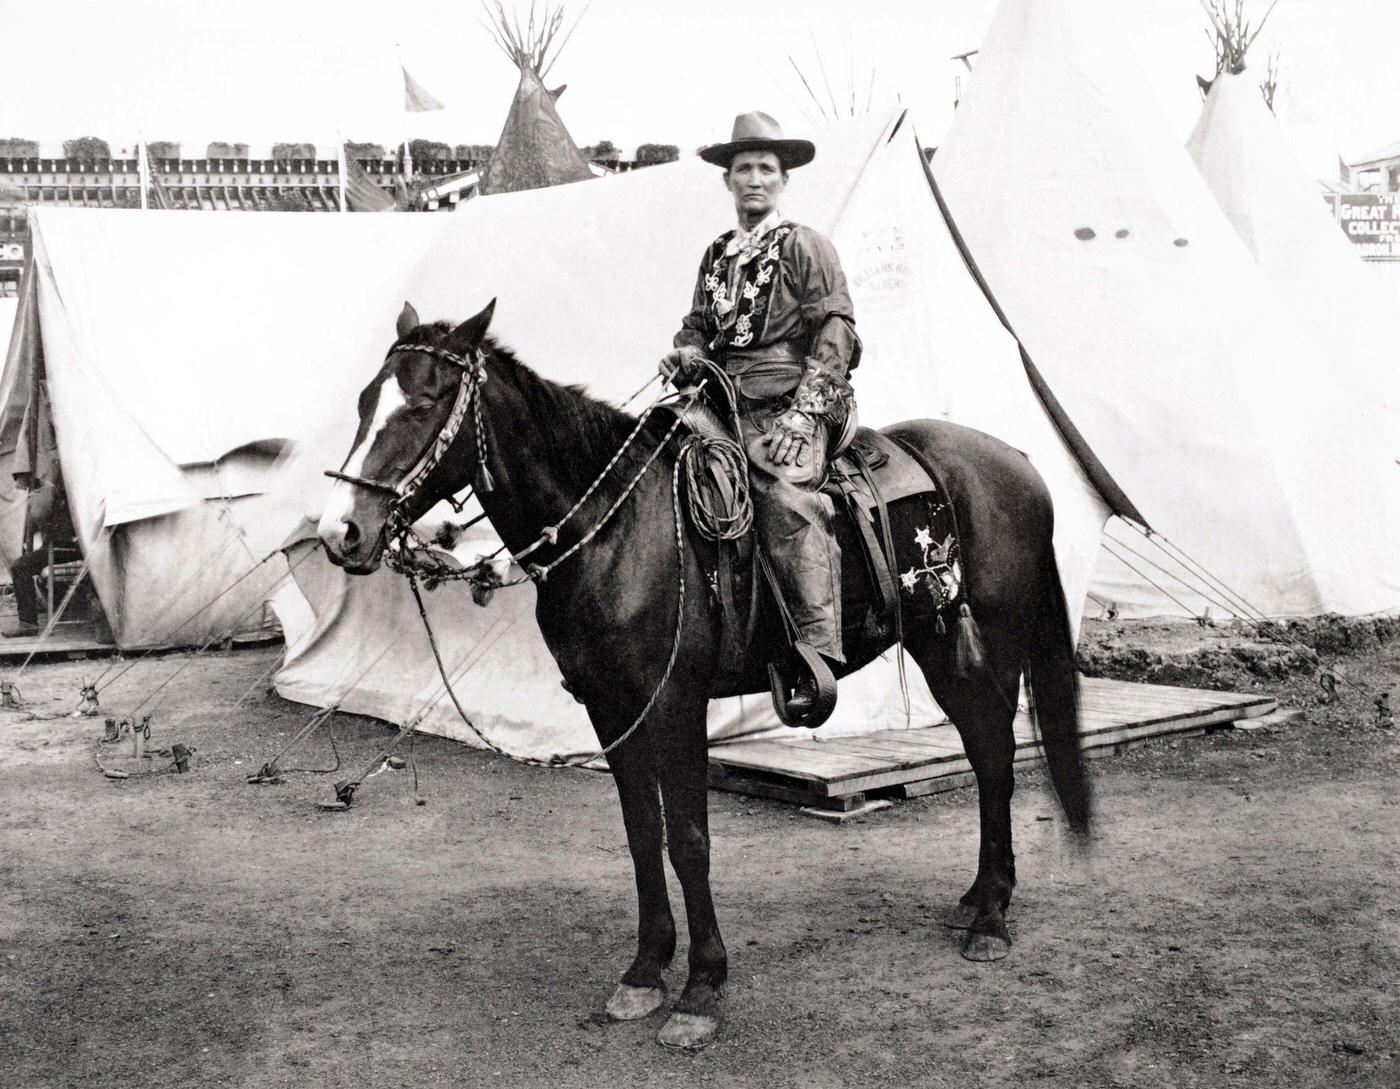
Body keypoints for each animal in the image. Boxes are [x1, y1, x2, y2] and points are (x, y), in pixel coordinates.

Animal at [320, 300, 1092, 1047]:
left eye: (424, 403)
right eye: (362, 401)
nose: (340, 533)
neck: (614, 528)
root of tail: (1018, 462)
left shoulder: (675, 704)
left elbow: (690, 840)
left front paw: (701, 989)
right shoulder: (611, 708)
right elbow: (643, 833)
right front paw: (644, 969)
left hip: (987, 647)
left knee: (996, 755)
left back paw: (991, 919)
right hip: (939, 647)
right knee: (987, 752)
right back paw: (980, 898)